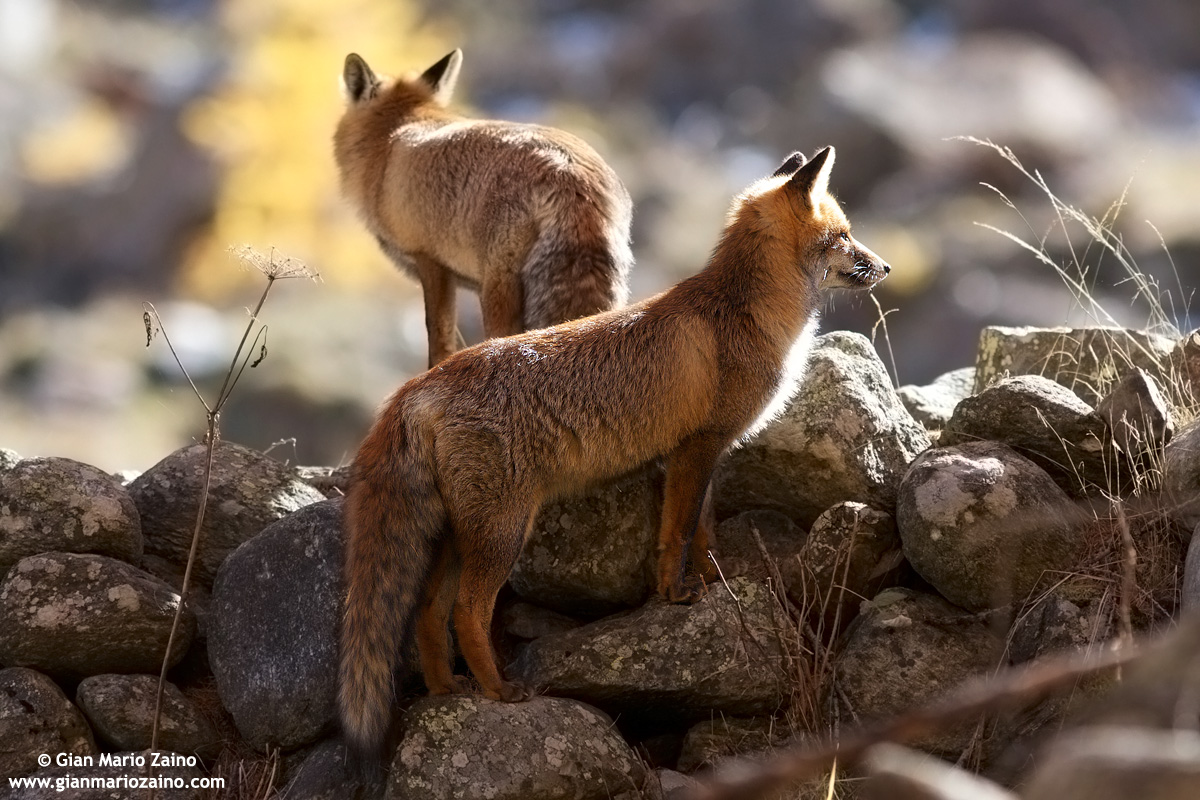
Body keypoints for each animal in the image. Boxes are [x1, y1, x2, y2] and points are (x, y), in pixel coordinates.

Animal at [339, 146, 890, 768]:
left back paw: (443, 690)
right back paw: (498, 691)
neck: (745, 312)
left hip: (461, 533)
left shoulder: (702, 453)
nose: (886, 267)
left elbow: (702, 529)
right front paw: (674, 596)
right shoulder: (698, 446)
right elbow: (677, 531)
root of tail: (420, 385)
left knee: (429, 613)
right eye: (844, 236)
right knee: (466, 613)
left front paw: (713, 582)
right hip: (503, 532)